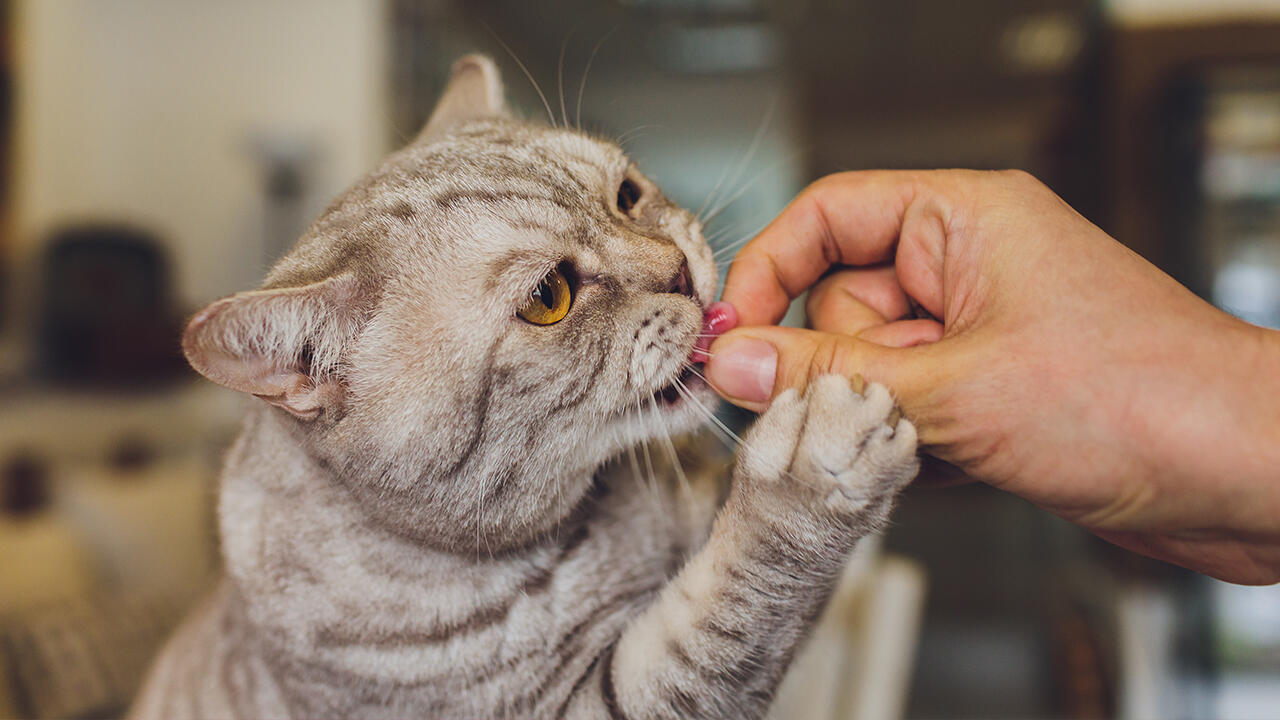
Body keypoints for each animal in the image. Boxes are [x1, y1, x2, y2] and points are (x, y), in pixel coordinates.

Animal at [129, 57, 921, 717]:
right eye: (549, 296)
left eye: (627, 195)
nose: (681, 272)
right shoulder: (583, 704)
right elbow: (724, 619)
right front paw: (812, 476)